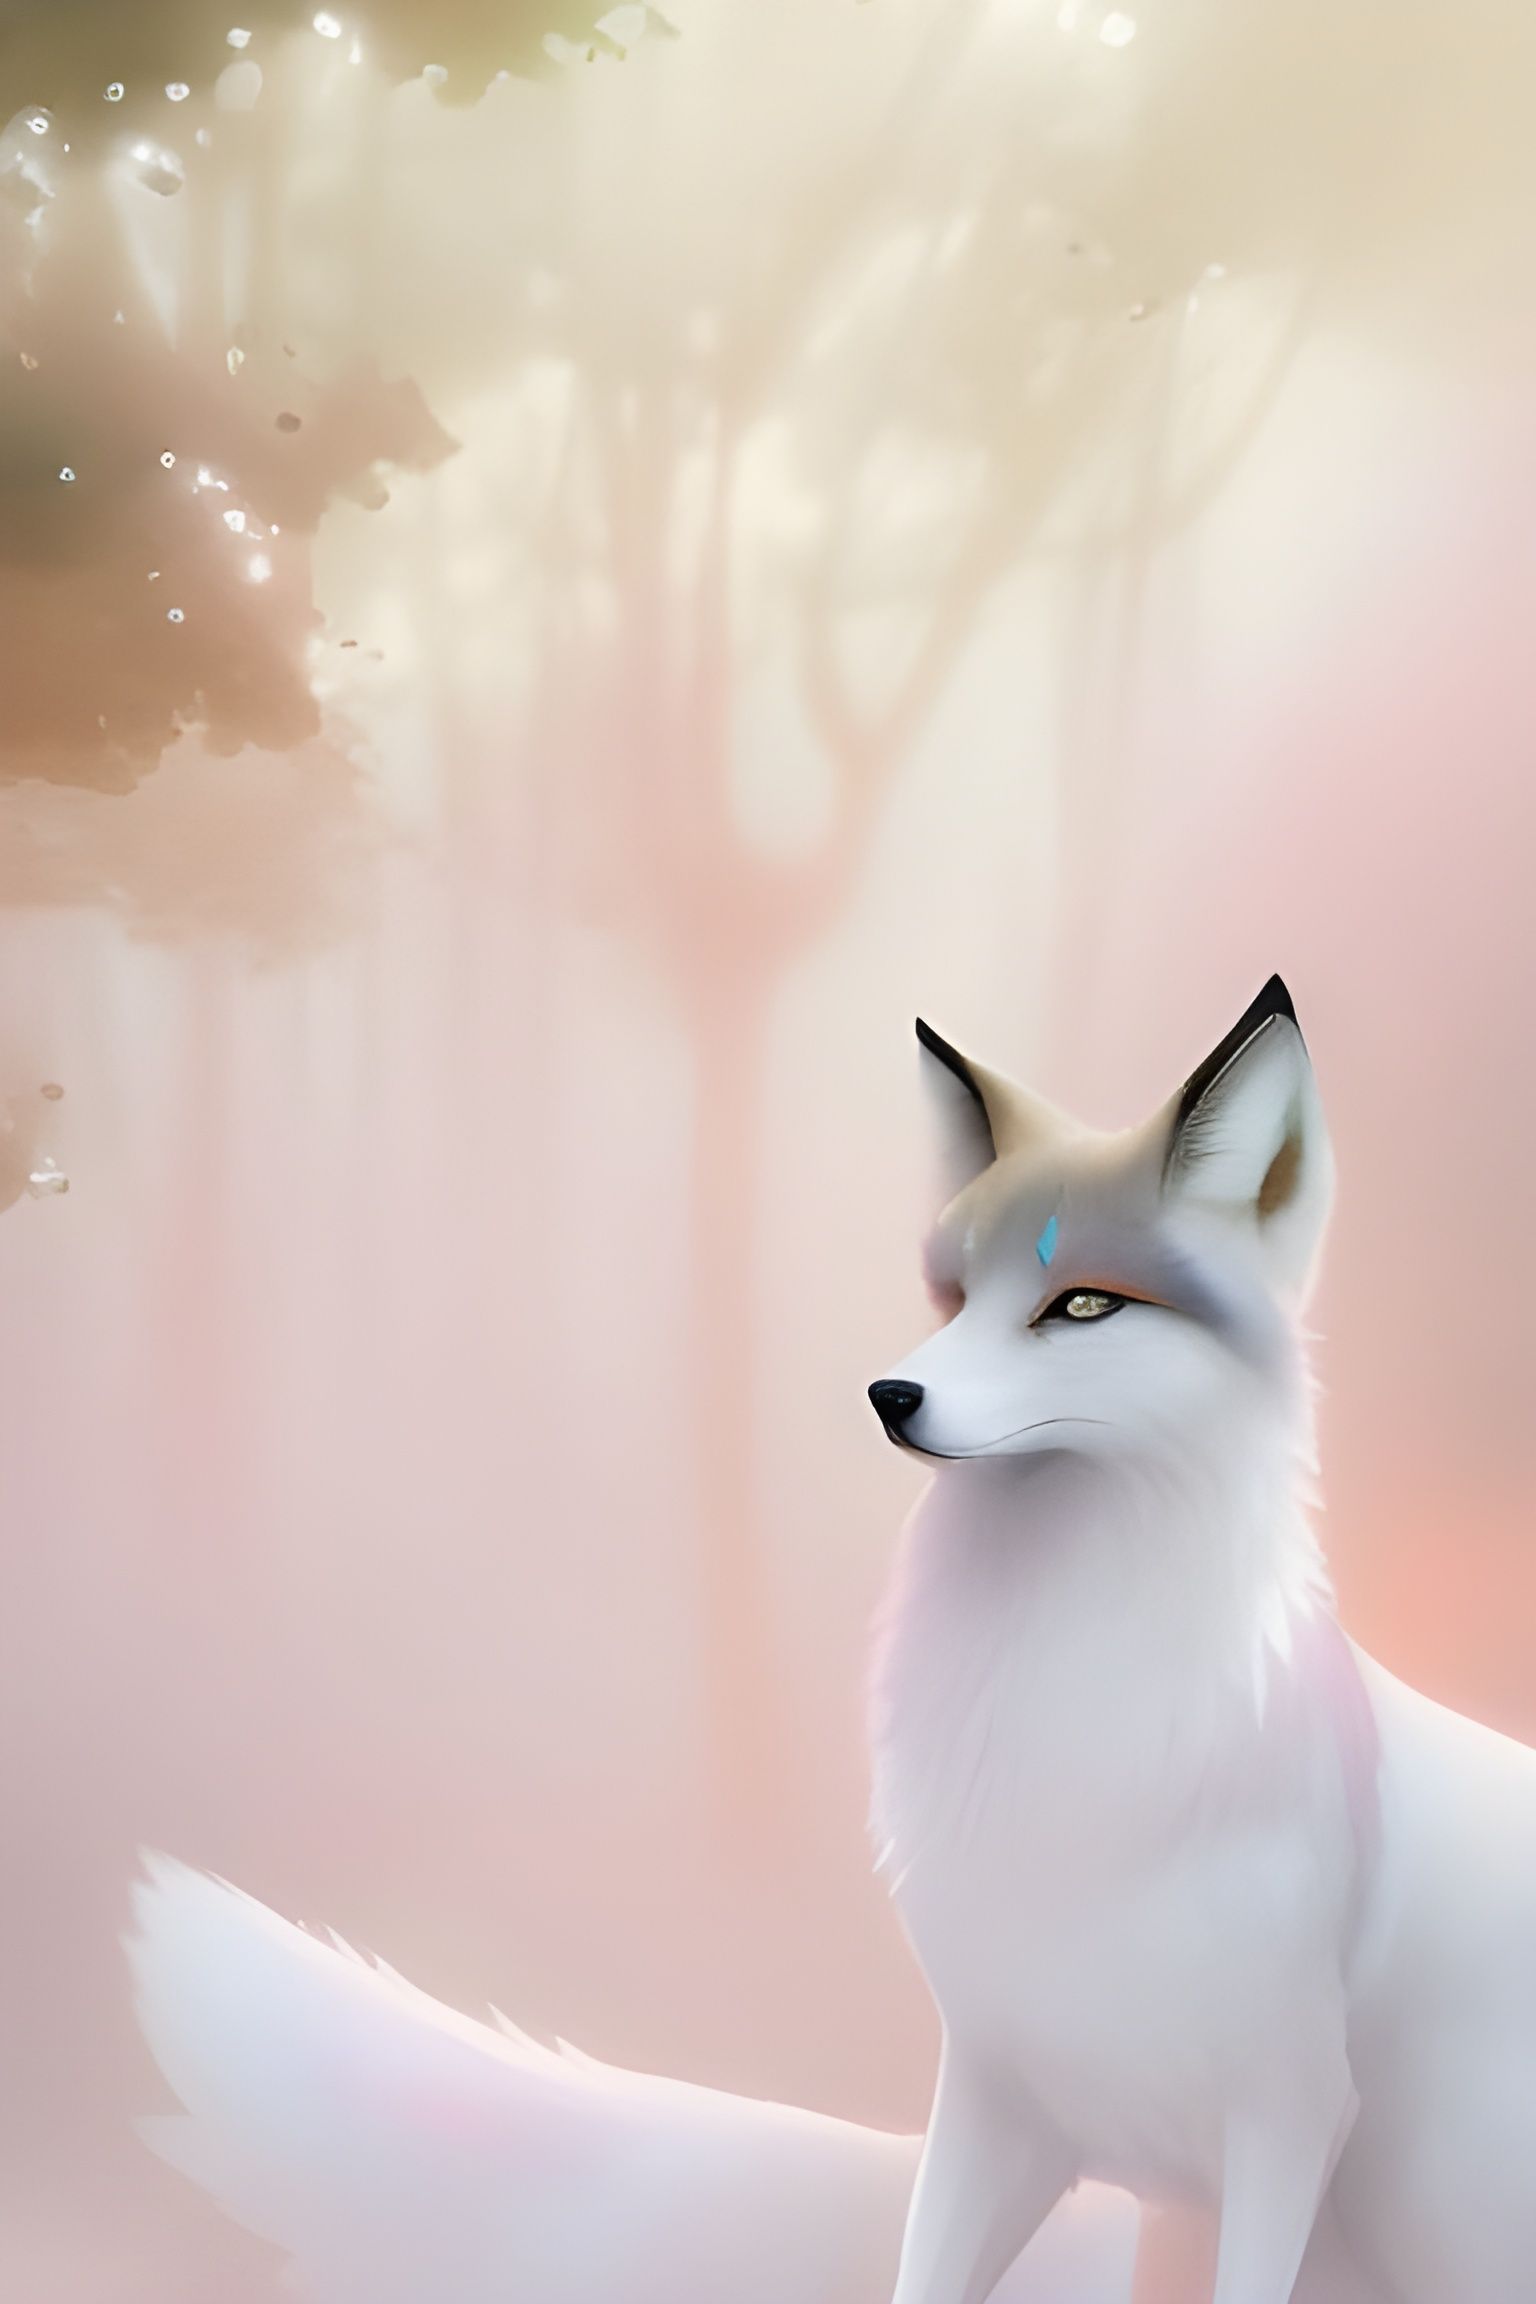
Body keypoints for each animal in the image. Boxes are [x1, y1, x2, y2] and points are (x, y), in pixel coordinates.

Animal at [128, 978, 1536, 2304]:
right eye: (954, 1292)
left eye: (1082, 1302)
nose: (887, 1393)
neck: (1070, 1711)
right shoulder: (1009, 2098)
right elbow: (922, 2271)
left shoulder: (1282, 2123)